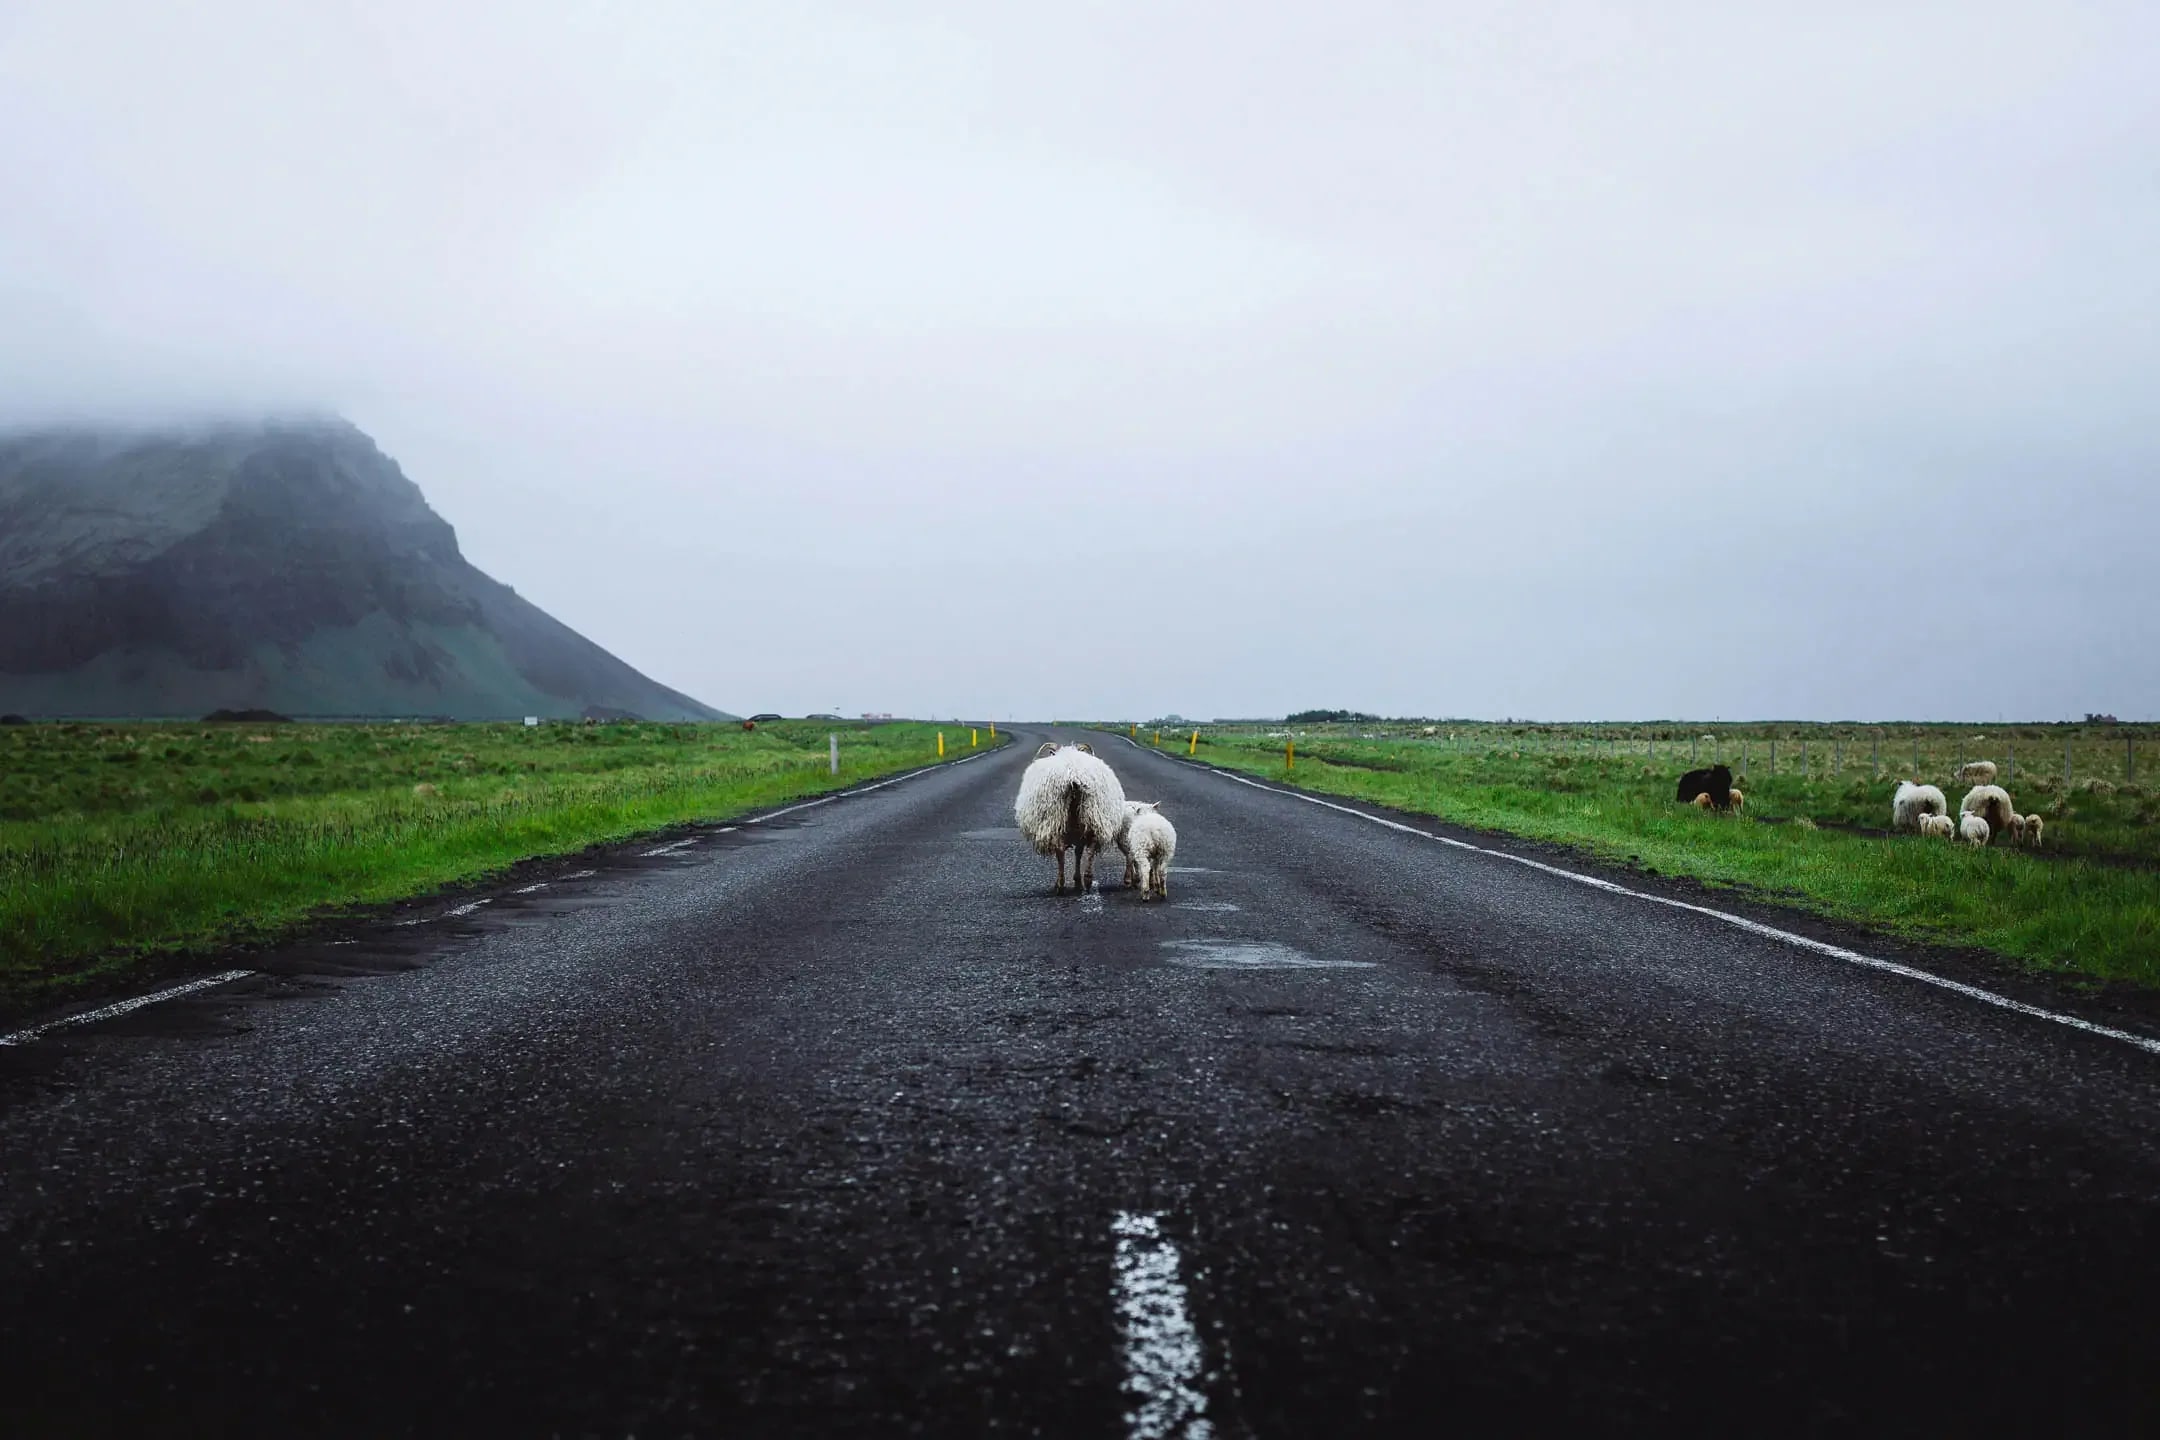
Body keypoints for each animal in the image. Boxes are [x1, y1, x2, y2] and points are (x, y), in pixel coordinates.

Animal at [1015, 741, 1127, 895]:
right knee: (1090, 848)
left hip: (1056, 819)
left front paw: (1071, 881)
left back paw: (1061, 884)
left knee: (1060, 851)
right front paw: (1077, 881)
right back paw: (1087, 880)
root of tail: (1073, 778)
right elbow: (1078, 853)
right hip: (1093, 816)